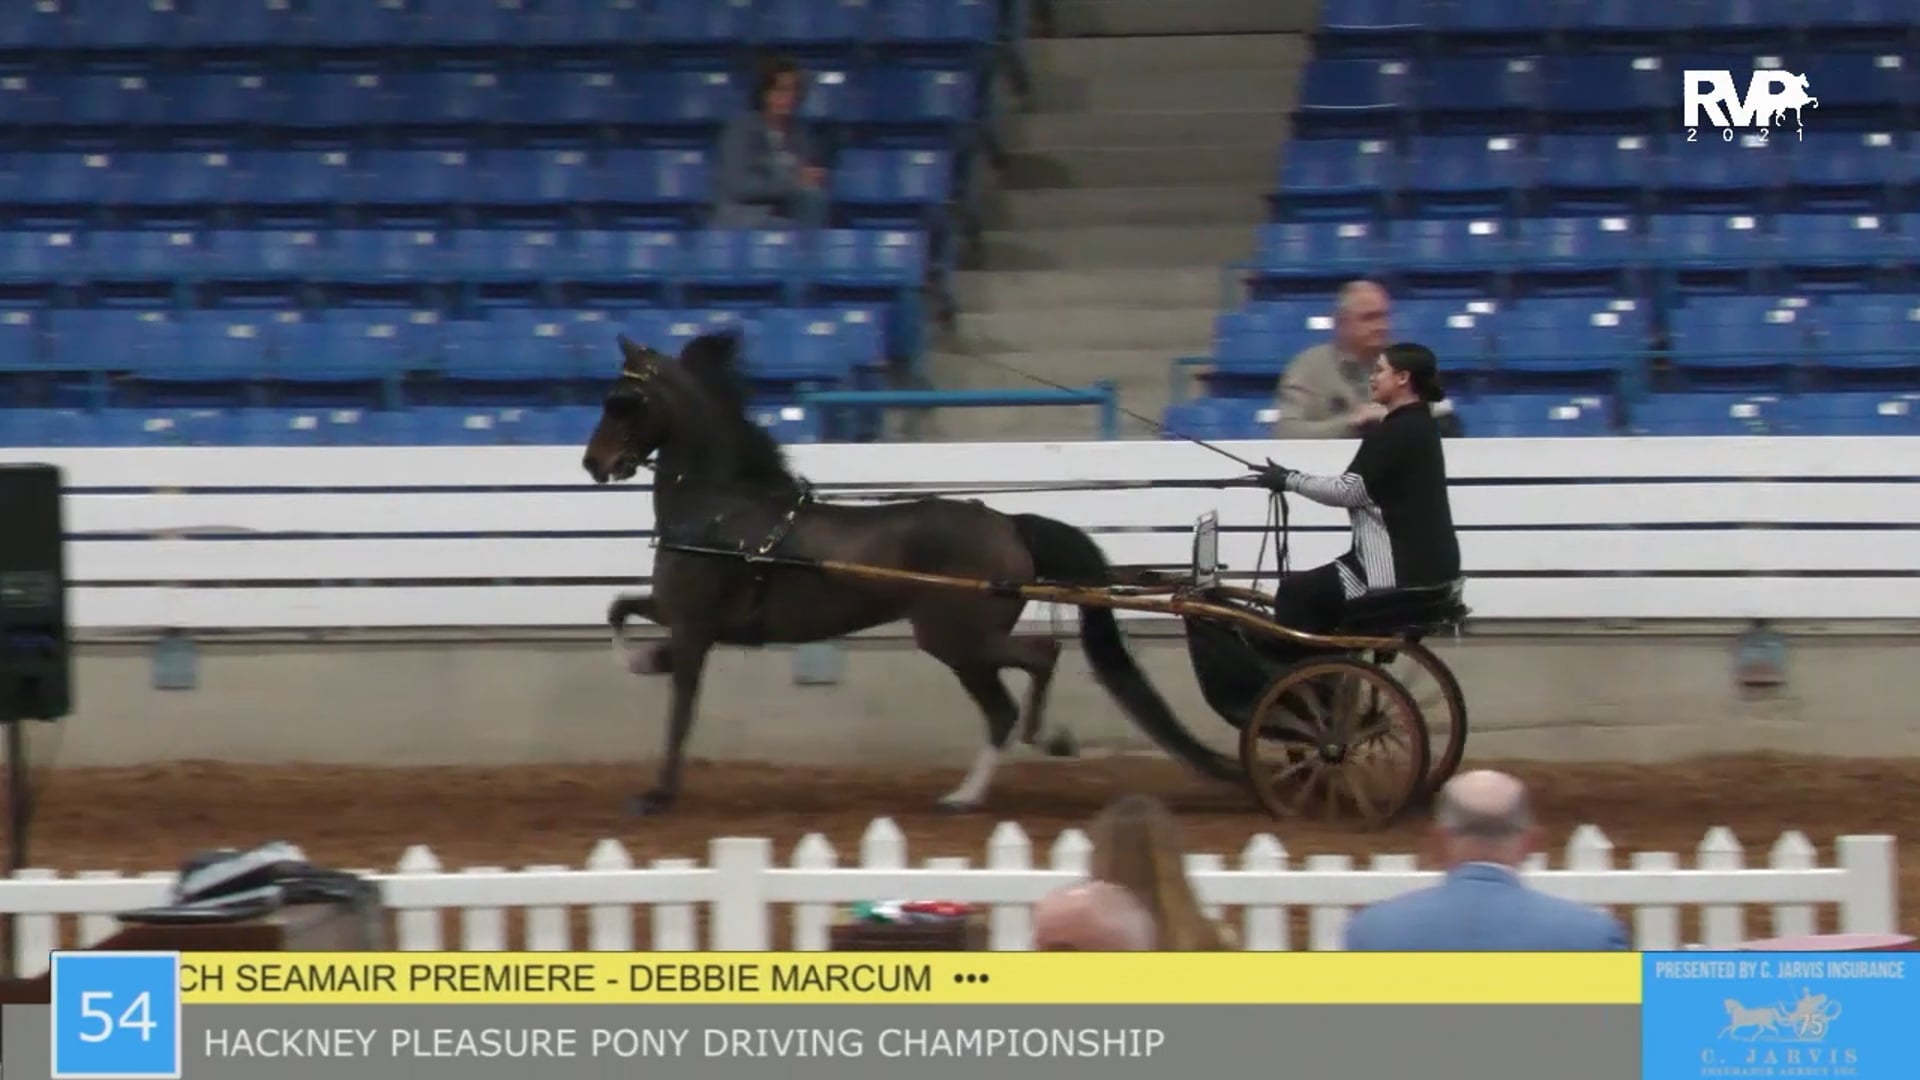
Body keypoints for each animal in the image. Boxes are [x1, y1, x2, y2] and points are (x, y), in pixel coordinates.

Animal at [579, 330, 1241, 815]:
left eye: (622, 401)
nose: (593, 463)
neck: (722, 510)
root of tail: (1006, 521)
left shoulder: (695, 625)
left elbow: (679, 711)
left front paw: (657, 792)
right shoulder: (682, 614)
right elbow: (618, 609)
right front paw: (648, 658)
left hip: (955, 636)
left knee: (1036, 663)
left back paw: (1021, 756)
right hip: (961, 643)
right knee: (1010, 696)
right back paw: (979, 785)